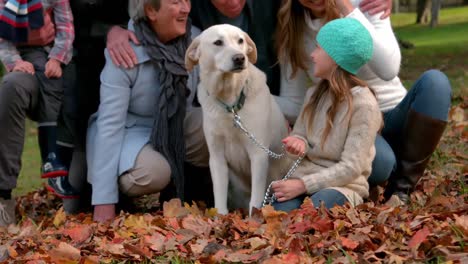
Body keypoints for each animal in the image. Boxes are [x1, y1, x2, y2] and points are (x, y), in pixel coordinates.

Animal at [186, 24, 288, 214]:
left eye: (240, 40)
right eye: (218, 42)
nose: (240, 58)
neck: (230, 103)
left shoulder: (258, 155)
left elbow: (256, 198)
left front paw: (254, 218)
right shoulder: (216, 156)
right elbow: (219, 195)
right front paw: (220, 217)